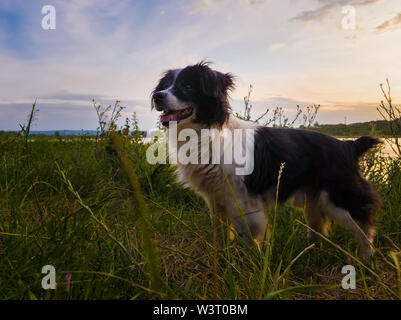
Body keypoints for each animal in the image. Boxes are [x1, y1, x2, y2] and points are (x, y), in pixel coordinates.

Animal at [151, 62, 382, 258]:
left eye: (188, 85)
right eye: (166, 85)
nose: (157, 97)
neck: (206, 133)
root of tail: (348, 145)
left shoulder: (244, 201)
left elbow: (250, 237)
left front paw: (252, 266)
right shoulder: (217, 198)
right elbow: (220, 233)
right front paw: (220, 259)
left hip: (339, 198)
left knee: (364, 227)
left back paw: (365, 261)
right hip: (314, 201)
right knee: (319, 231)